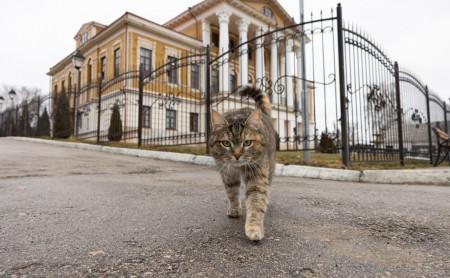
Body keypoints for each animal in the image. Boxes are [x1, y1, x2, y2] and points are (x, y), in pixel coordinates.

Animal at [209, 86, 276, 242]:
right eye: (226, 143)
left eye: (247, 142)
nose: (237, 155)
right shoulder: (228, 174)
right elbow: (232, 192)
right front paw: (235, 209)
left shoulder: (258, 176)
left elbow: (256, 201)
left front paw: (254, 227)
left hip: (269, 168)